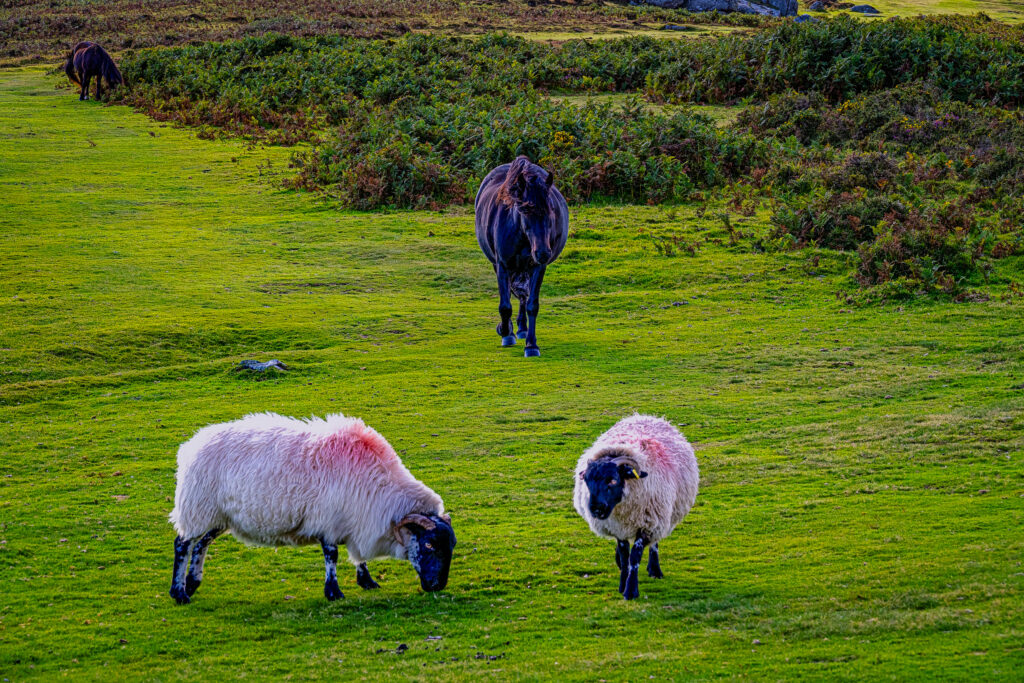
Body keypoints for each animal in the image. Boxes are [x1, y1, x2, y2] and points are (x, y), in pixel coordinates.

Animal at [168, 412, 456, 604]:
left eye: (451, 545)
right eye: (429, 544)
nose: (437, 586)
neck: (380, 489)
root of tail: (192, 445)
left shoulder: (354, 518)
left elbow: (357, 556)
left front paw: (367, 581)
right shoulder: (330, 520)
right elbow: (332, 555)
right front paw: (334, 592)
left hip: (218, 516)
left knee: (202, 543)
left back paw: (192, 583)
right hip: (198, 507)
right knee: (183, 544)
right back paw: (179, 593)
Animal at [475, 156, 569, 358]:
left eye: (551, 210)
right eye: (525, 210)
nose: (543, 252)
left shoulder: (538, 267)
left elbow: (532, 305)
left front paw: (531, 345)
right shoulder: (502, 265)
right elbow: (505, 305)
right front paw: (505, 332)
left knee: (523, 297)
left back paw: (523, 329)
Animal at [573, 414, 699, 600]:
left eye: (613, 480)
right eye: (587, 480)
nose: (596, 509)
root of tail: (645, 416)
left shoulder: (648, 524)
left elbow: (634, 558)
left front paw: (631, 590)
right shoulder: (617, 528)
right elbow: (625, 557)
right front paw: (622, 583)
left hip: (661, 517)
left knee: (654, 543)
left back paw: (655, 570)